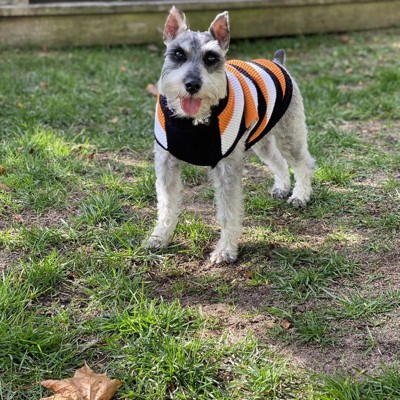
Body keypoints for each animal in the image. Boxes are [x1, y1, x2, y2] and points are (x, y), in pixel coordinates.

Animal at [144, 6, 316, 264]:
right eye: (178, 54)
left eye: (211, 58)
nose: (192, 84)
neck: (194, 121)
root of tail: (277, 62)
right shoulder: (166, 163)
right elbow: (166, 204)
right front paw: (160, 237)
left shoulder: (226, 168)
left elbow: (228, 212)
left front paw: (225, 250)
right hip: (261, 140)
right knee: (278, 161)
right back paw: (282, 187)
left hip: (289, 135)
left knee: (303, 163)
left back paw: (300, 195)